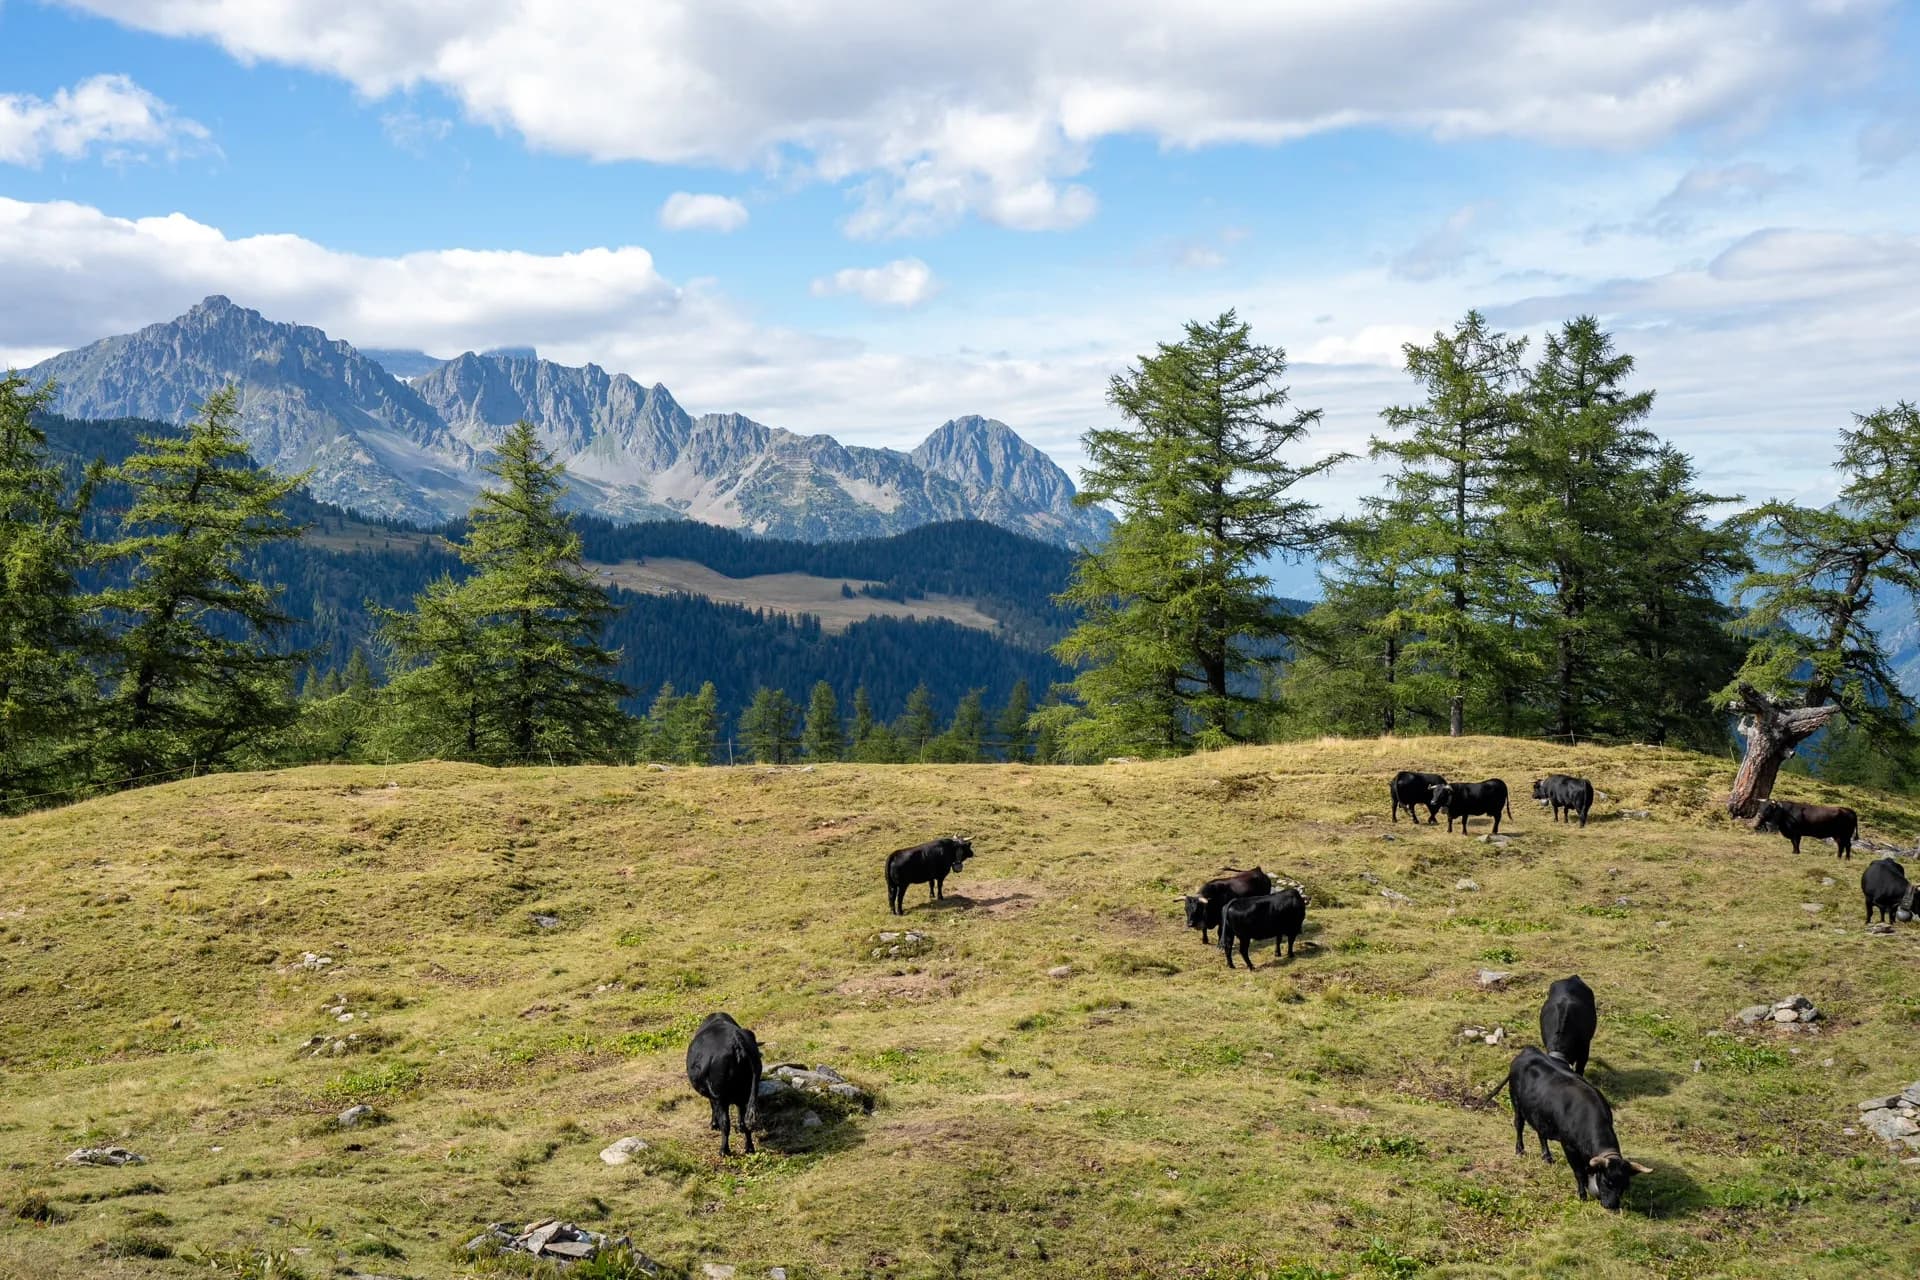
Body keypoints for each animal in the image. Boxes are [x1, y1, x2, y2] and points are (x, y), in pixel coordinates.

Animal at [685, 1012, 762, 1156]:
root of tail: (737, 1042)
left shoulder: (713, 1095)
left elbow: (713, 1109)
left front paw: (713, 1124)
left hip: (720, 1096)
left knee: (725, 1123)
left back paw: (723, 1150)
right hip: (746, 1092)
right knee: (746, 1122)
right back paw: (749, 1148)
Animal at [1487, 1046, 1651, 1210]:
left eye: (1625, 1186)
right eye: (1606, 1181)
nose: (1612, 1206)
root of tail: (1529, 1050)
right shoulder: (1569, 1147)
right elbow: (1579, 1172)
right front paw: (1582, 1195)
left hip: (1539, 1113)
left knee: (1541, 1133)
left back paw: (1547, 1157)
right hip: (1516, 1103)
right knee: (1519, 1125)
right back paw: (1520, 1150)